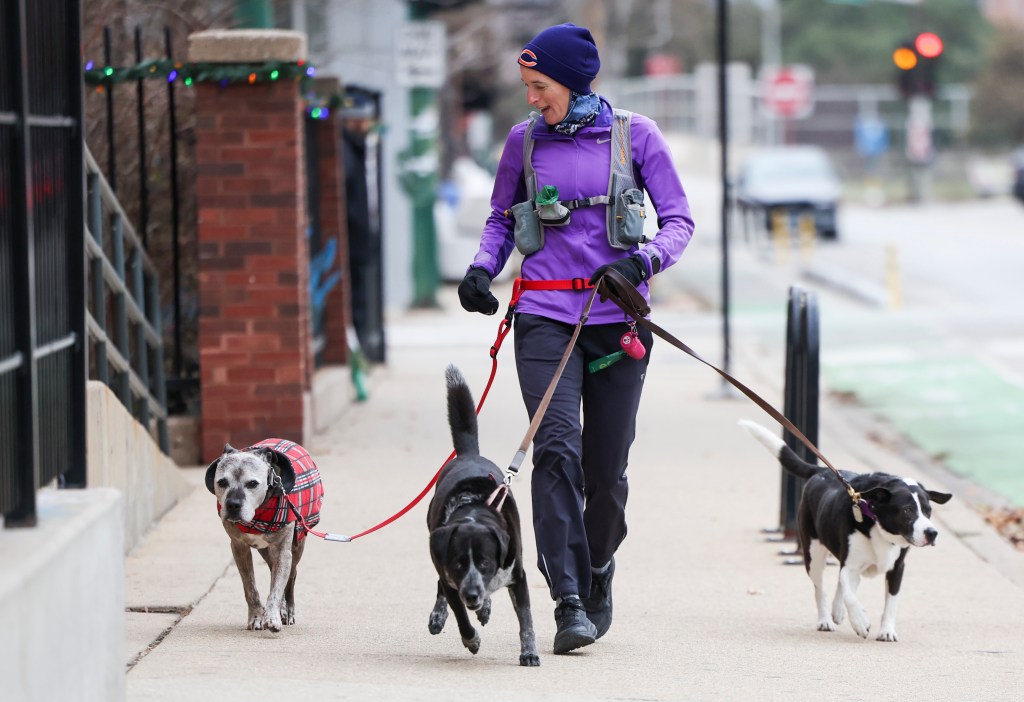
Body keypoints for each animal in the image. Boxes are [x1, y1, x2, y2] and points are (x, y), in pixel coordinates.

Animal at [204, 440, 323, 634]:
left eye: (252, 483)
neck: (258, 514)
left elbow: (276, 588)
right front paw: (257, 617)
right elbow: (250, 587)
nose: (233, 505)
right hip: (266, 552)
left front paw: (272, 617)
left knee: (291, 576)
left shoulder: (283, 552)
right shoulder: (239, 548)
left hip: (297, 545)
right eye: (222, 482)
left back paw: (287, 610)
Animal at [423, 366, 540, 667]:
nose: (472, 594)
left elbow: (526, 621)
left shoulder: (519, 577)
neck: (474, 509)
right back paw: (441, 616)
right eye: (459, 563)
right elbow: (461, 616)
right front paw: (471, 640)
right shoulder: (451, 578)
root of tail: (468, 455)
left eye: (485, 562)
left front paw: (529, 652)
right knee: (441, 588)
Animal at [737, 417, 950, 642]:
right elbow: (848, 592)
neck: (876, 522)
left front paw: (886, 630)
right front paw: (860, 622)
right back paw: (825, 620)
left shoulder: (897, 568)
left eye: (928, 511)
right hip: (813, 555)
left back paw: (837, 611)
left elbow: (890, 603)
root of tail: (821, 471)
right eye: (907, 511)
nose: (932, 533)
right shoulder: (851, 565)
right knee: (820, 590)